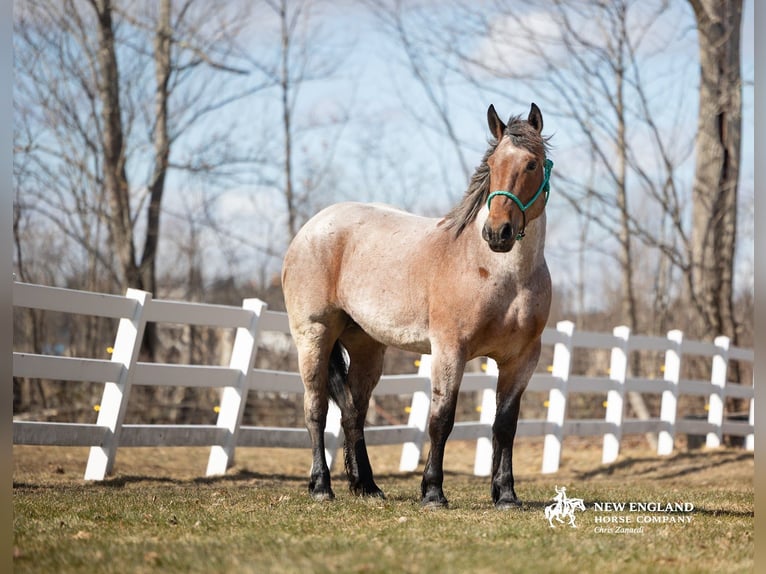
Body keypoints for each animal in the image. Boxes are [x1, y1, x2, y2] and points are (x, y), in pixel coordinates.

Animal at [281, 103, 553, 509]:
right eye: (492, 165)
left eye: (532, 164)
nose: (497, 233)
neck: (503, 274)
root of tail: (310, 229)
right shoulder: (449, 351)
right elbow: (441, 419)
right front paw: (433, 492)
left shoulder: (521, 359)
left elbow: (505, 425)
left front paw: (505, 494)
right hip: (314, 336)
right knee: (316, 410)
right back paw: (321, 487)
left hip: (366, 349)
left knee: (353, 413)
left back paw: (367, 486)